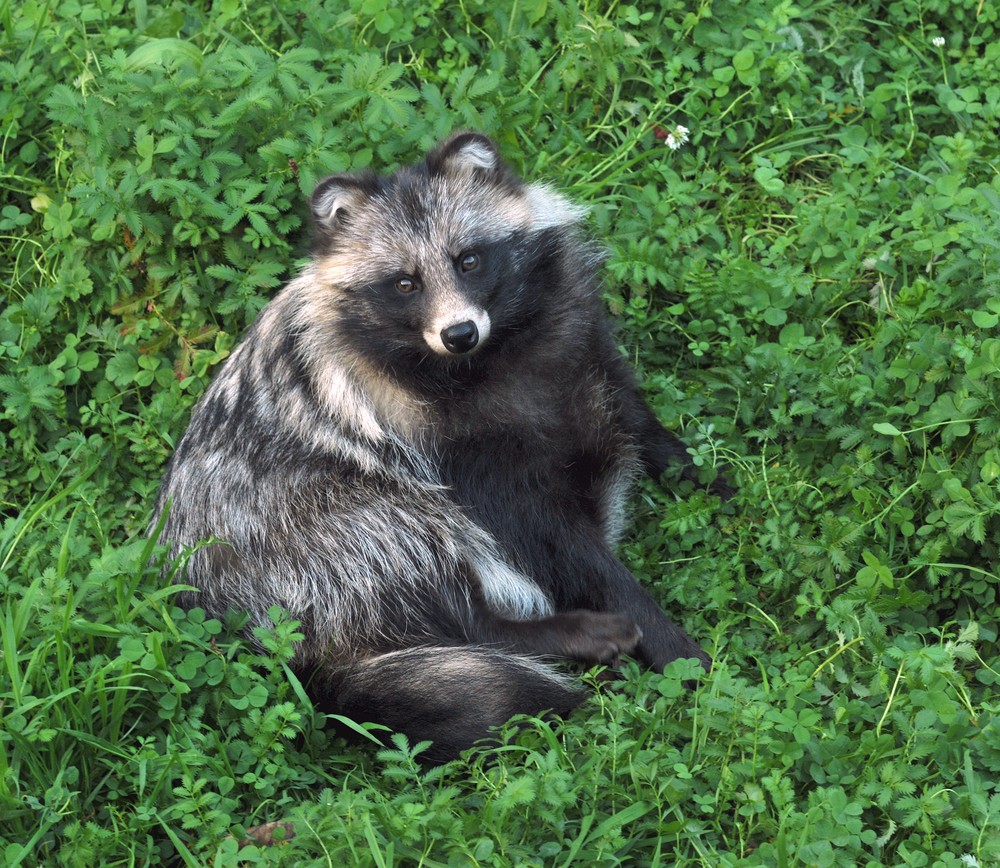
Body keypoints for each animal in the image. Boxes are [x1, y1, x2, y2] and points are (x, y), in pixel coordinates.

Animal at [152, 132, 720, 764]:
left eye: (468, 260)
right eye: (405, 283)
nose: (459, 332)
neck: (491, 360)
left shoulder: (578, 348)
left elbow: (634, 415)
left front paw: (702, 473)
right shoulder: (447, 450)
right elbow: (550, 537)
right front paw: (668, 639)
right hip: (302, 532)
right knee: (417, 556)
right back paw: (552, 630)